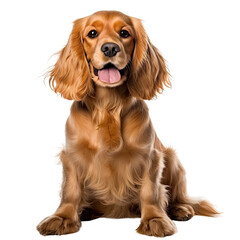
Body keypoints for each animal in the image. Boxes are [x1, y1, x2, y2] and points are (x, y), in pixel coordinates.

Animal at [36, 10, 218, 236]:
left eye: (124, 33)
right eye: (92, 33)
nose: (110, 48)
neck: (109, 107)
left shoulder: (150, 156)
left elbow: (150, 191)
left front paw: (154, 219)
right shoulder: (72, 155)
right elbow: (70, 190)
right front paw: (62, 218)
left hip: (173, 159)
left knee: (178, 197)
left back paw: (180, 209)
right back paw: (85, 210)